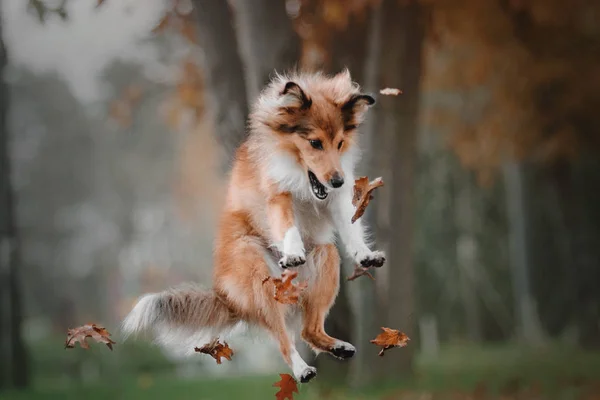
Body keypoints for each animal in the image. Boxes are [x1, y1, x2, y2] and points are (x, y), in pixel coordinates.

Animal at [122, 69, 384, 384]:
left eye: (340, 142)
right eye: (315, 143)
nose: (337, 180)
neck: (301, 173)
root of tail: (226, 296)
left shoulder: (336, 200)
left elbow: (350, 226)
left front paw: (365, 254)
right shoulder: (277, 194)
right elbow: (287, 224)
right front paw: (293, 252)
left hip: (326, 256)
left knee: (308, 329)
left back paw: (338, 347)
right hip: (259, 278)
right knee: (284, 339)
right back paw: (302, 369)